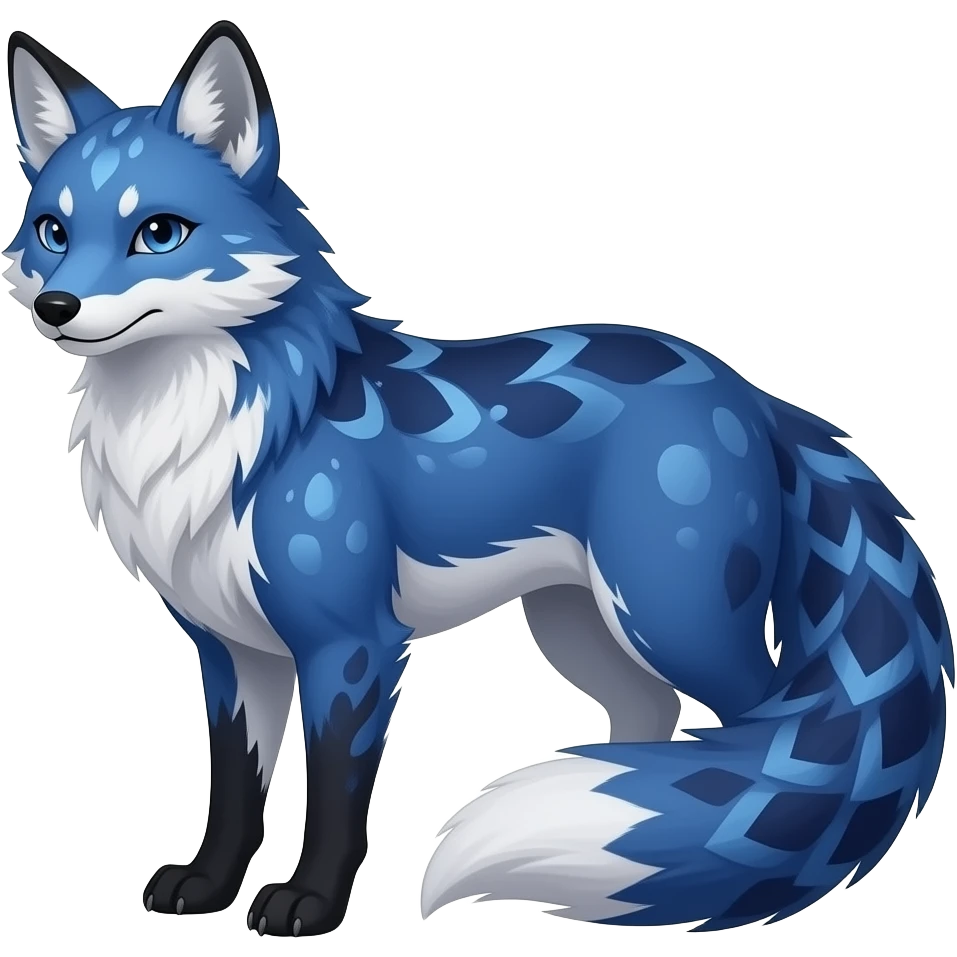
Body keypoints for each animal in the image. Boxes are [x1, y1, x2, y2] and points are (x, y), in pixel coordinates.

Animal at [2, 19, 953, 939]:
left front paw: (310, 904)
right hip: (580, 627)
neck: (217, 439)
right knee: (654, 728)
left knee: (756, 732)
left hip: (672, 617)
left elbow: (335, 797)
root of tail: (747, 389)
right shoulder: (233, 650)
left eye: (158, 232)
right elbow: (234, 789)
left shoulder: (351, 647)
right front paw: (206, 885)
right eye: (52, 232)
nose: (57, 308)